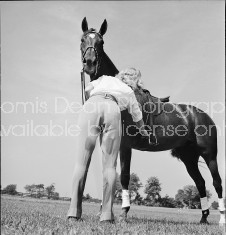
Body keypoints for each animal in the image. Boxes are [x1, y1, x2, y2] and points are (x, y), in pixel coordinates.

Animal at [79, 17, 224, 226]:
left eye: (101, 42)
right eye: (82, 40)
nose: (90, 63)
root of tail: (203, 116)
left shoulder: (125, 146)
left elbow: (124, 177)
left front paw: (123, 213)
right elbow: (109, 174)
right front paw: (103, 213)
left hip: (209, 155)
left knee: (217, 182)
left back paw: (221, 219)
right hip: (189, 158)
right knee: (201, 183)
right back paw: (203, 218)